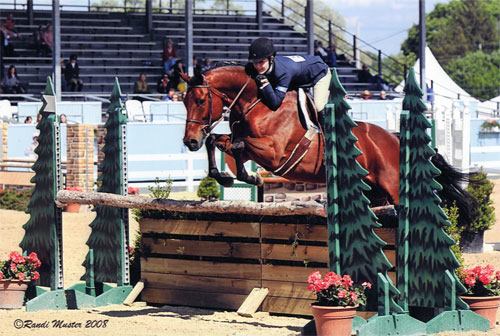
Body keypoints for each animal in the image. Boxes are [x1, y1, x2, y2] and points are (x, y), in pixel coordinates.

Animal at [181, 63, 476, 226]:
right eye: (184, 101)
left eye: (200, 100)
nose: (189, 141)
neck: (259, 102)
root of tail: (394, 138)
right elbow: (218, 142)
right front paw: (227, 177)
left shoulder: (274, 153)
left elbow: (238, 146)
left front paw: (248, 176)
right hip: (375, 192)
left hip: (393, 187)